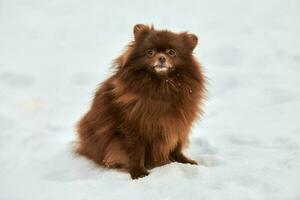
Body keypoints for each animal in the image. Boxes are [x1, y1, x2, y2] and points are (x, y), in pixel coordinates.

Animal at [76, 24, 205, 179]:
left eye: (171, 52)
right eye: (150, 52)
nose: (161, 58)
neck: (161, 87)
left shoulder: (178, 123)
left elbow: (176, 146)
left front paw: (184, 161)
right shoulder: (134, 129)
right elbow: (136, 152)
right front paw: (138, 173)